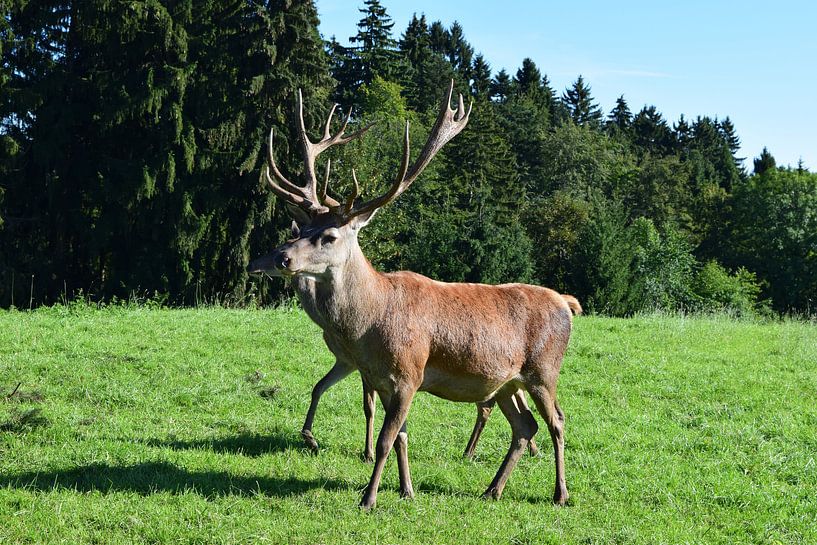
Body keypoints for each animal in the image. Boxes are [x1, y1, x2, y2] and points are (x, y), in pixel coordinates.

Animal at [248, 81, 579, 509]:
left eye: (329, 235)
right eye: (300, 231)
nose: (282, 258)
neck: (370, 322)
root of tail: (567, 304)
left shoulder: (409, 373)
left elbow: (387, 439)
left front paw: (369, 497)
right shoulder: (381, 379)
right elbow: (402, 436)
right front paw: (406, 490)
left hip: (544, 369)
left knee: (557, 420)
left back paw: (560, 493)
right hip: (506, 382)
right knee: (526, 425)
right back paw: (492, 489)